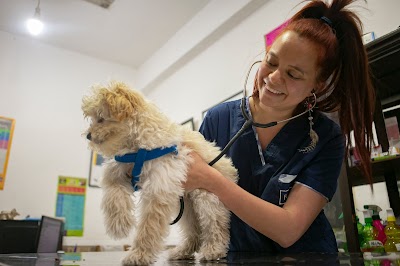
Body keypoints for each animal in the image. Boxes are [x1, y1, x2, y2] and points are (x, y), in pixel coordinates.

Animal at [81, 82, 238, 264]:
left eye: (100, 118)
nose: (88, 135)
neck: (136, 146)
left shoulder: (159, 188)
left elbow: (149, 226)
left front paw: (138, 254)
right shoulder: (118, 172)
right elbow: (113, 197)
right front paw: (119, 224)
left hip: (206, 196)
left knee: (216, 224)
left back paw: (213, 250)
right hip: (186, 205)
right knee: (194, 230)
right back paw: (182, 251)